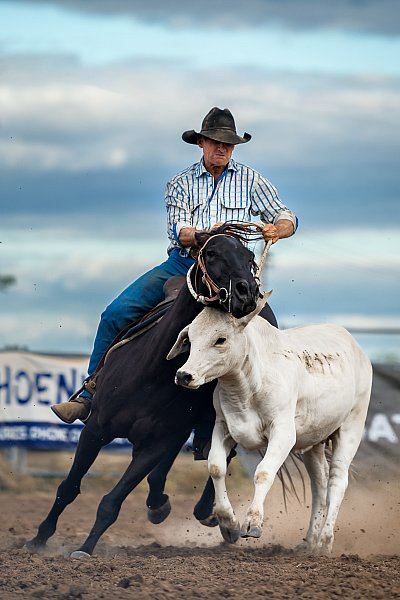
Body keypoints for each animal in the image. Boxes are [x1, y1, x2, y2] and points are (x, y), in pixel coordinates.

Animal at [26, 225, 276, 556]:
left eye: (250, 257)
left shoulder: (156, 442)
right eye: (211, 253)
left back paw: (216, 518)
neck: (152, 372)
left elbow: (112, 502)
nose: (246, 293)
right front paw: (39, 539)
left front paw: (86, 548)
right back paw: (162, 506)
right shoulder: (96, 429)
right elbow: (68, 487)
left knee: (224, 455)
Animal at [166, 296, 372, 552]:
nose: (184, 375)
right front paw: (229, 523)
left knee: (337, 481)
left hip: (351, 427)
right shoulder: (223, 427)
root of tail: (355, 346)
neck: (247, 385)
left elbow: (263, 472)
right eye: (190, 339)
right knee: (319, 485)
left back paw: (325, 542)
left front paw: (252, 522)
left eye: (220, 339)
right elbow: (216, 467)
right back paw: (309, 543)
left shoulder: (283, 434)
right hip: (313, 443)